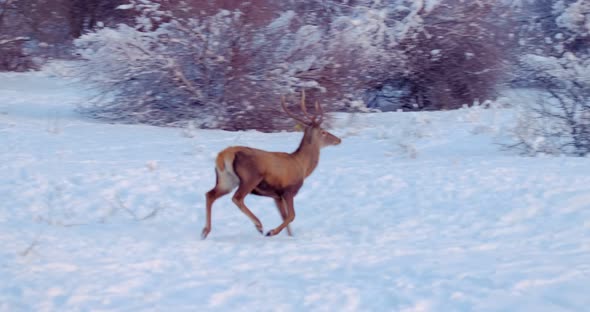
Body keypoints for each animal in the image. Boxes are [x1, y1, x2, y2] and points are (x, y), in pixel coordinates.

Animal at [202, 90, 342, 239]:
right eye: (323, 132)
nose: (338, 139)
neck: (303, 166)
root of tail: (223, 155)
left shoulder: (277, 196)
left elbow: (285, 217)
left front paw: (289, 236)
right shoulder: (288, 190)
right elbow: (291, 216)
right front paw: (272, 232)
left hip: (226, 180)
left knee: (209, 194)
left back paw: (205, 231)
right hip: (250, 177)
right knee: (237, 198)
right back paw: (259, 225)